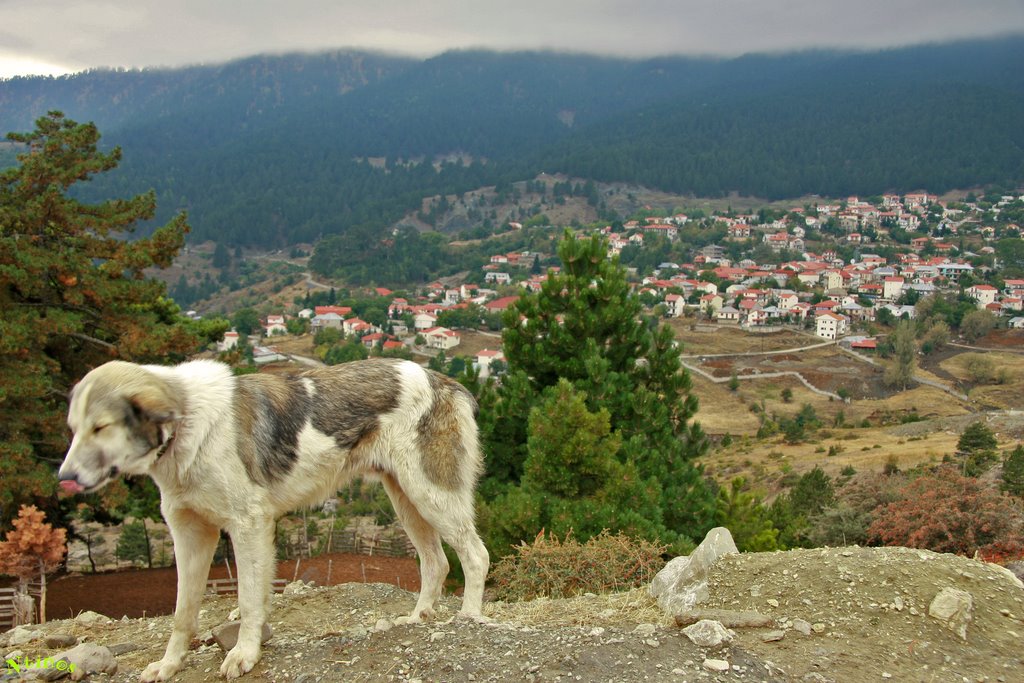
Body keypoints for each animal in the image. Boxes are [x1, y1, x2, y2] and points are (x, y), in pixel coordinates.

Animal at [58, 358, 489, 679]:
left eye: (101, 427)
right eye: (74, 429)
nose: (64, 478)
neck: (187, 426)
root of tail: (446, 382)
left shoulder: (247, 525)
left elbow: (248, 599)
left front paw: (243, 654)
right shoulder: (191, 533)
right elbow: (184, 612)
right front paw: (169, 665)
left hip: (431, 493)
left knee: (475, 555)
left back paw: (468, 617)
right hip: (405, 498)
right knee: (436, 561)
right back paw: (418, 618)